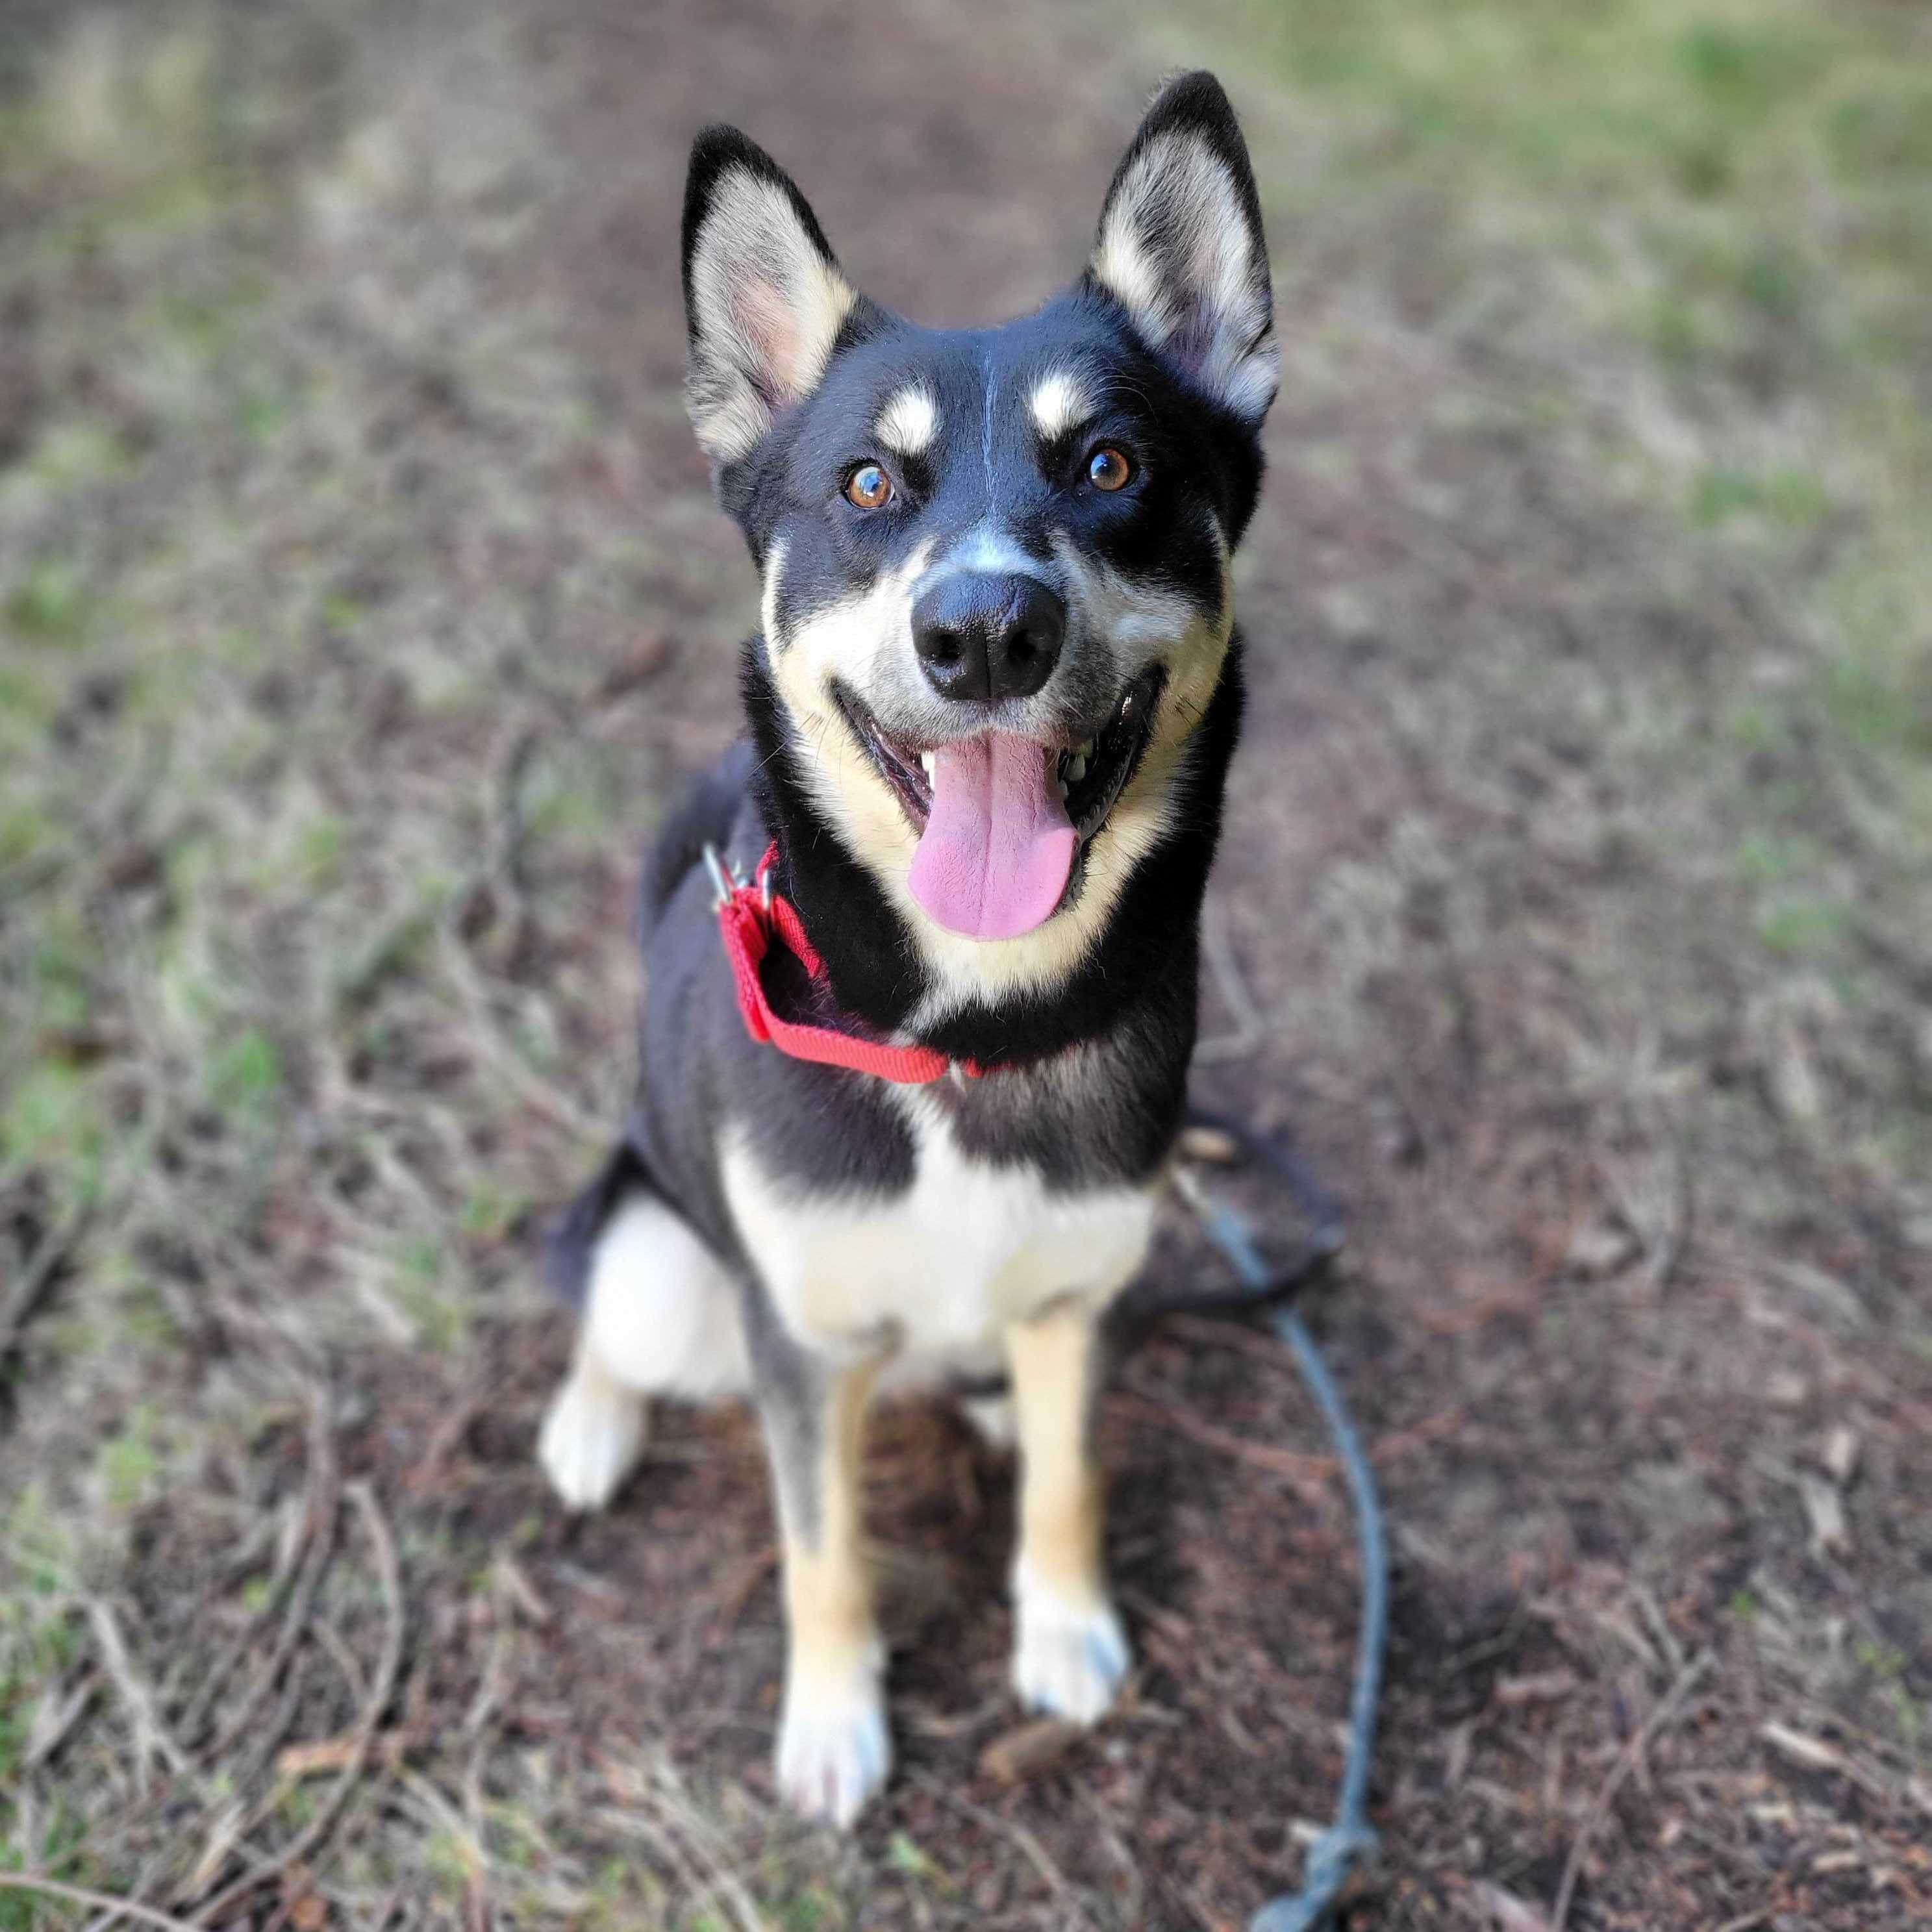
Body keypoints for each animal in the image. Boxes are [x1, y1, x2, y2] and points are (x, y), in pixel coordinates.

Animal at [537, 71, 1275, 1824]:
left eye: (1111, 461)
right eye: (870, 487)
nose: (988, 631)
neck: (964, 1033)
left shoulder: (1078, 1298)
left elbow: (1072, 1479)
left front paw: (1065, 1629)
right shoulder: (800, 1346)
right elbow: (824, 1550)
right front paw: (833, 1720)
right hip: (664, 1258)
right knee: (600, 1296)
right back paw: (589, 1427)